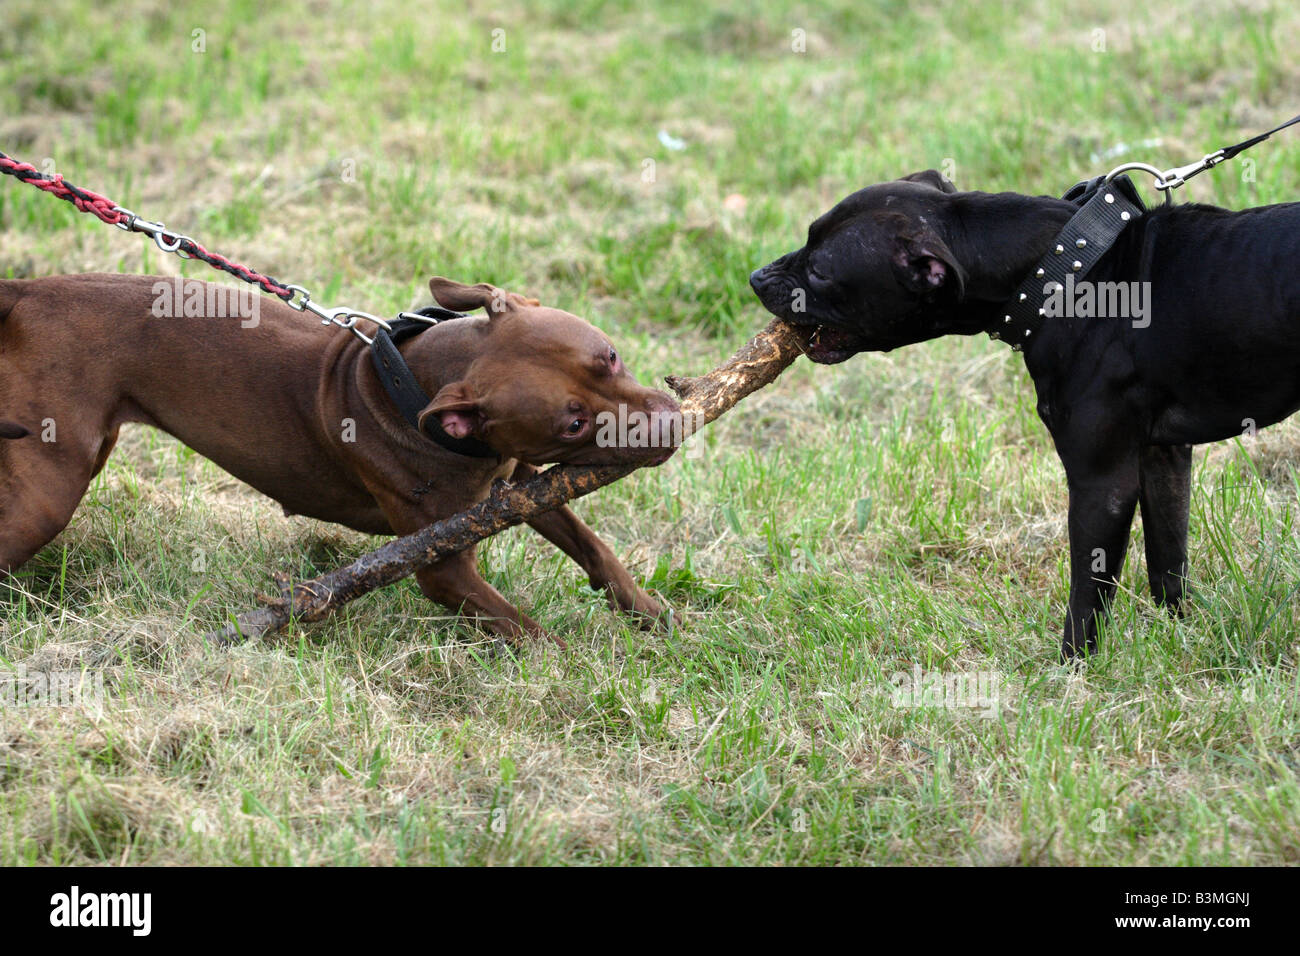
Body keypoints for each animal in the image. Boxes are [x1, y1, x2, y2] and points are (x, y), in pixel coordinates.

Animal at [0, 270, 681, 642]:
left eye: (611, 356)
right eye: (573, 423)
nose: (676, 420)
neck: (415, 380)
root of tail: (27, 290)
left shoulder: (523, 484)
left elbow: (594, 547)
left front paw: (651, 615)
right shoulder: (444, 568)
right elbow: (525, 630)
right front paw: (571, 671)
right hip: (46, 492)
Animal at [748, 167, 1300, 658]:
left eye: (821, 271)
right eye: (808, 235)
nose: (755, 278)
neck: (1069, 273)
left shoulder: (1103, 484)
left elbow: (1087, 595)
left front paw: (1072, 672)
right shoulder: (1163, 457)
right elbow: (1168, 560)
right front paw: (1181, 632)